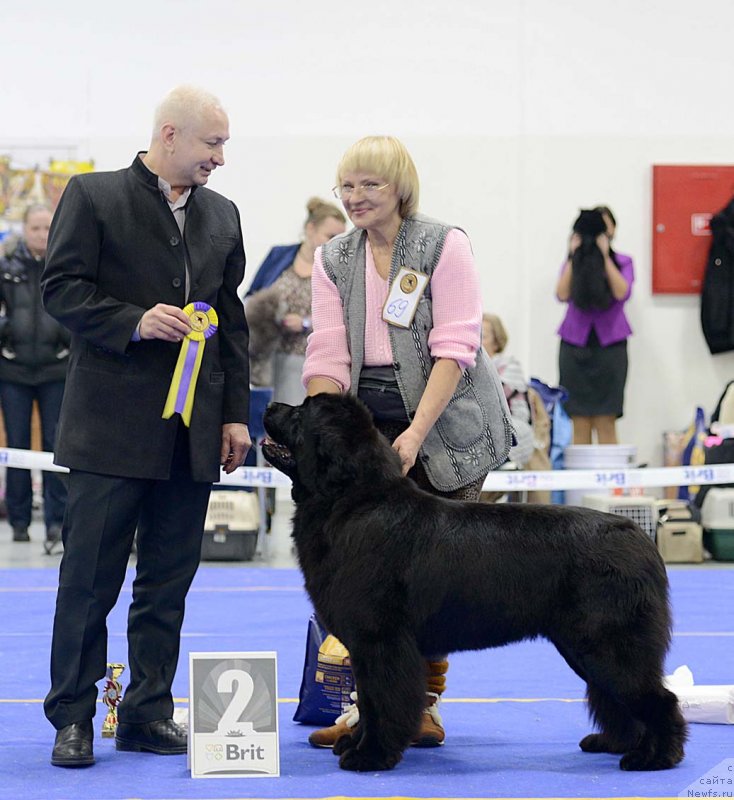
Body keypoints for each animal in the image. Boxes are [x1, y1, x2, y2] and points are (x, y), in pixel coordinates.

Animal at [264, 396, 688, 776]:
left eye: (301, 412)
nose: (269, 405)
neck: (351, 501)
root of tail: (639, 536)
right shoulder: (370, 646)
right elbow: (368, 701)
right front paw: (354, 744)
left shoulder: (381, 641)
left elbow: (383, 701)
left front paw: (369, 757)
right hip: (585, 647)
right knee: (619, 699)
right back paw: (614, 744)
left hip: (607, 645)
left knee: (659, 698)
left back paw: (654, 758)